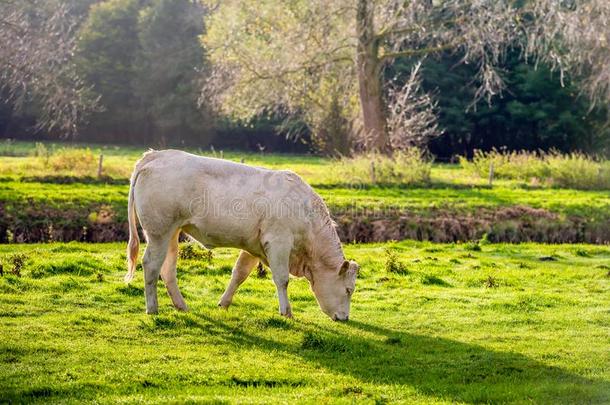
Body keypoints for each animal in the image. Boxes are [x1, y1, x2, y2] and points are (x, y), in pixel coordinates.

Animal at [125, 150, 358, 320]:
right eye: (348, 290)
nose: (345, 318)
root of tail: (156, 154)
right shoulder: (279, 242)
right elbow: (282, 279)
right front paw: (286, 312)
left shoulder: (255, 246)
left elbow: (239, 273)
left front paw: (224, 303)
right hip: (159, 232)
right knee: (151, 265)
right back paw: (152, 308)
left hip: (172, 233)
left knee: (167, 269)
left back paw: (181, 306)